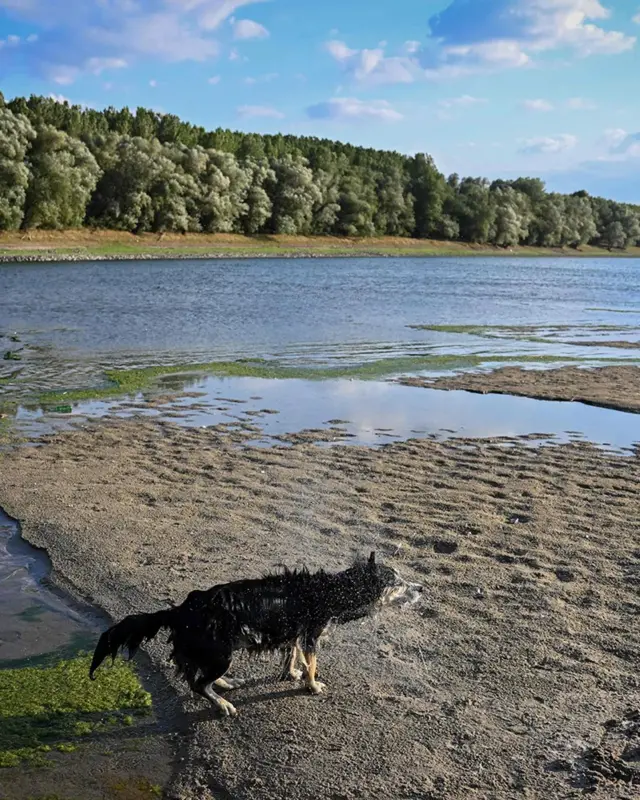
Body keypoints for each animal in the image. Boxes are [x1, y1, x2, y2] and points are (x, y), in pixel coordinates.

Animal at [89, 552, 420, 716]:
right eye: (398, 583)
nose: (421, 588)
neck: (331, 592)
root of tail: (180, 610)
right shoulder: (311, 636)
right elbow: (311, 663)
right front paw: (312, 685)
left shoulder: (296, 633)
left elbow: (293, 654)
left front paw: (292, 673)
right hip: (221, 652)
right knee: (198, 684)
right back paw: (222, 704)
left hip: (217, 652)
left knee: (202, 677)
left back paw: (225, 684)